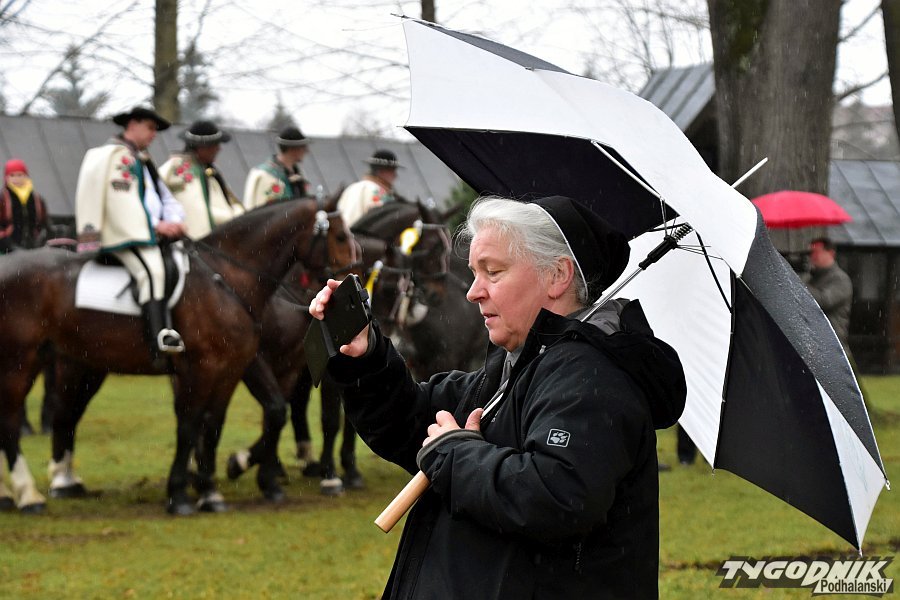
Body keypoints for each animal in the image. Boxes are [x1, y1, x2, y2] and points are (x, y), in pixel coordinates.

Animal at [0, 197, 355, 515]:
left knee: (61, 415)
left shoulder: (234, 368)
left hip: (77, 364)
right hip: (24, 363)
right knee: (17, 421)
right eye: (340, 236)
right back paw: (30, 495)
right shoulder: (208, 367)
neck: (226, 278)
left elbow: (222, 423)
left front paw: (213, 489)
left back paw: (42, 486)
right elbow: (191, 423)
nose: (350, 286)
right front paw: (183, 494)